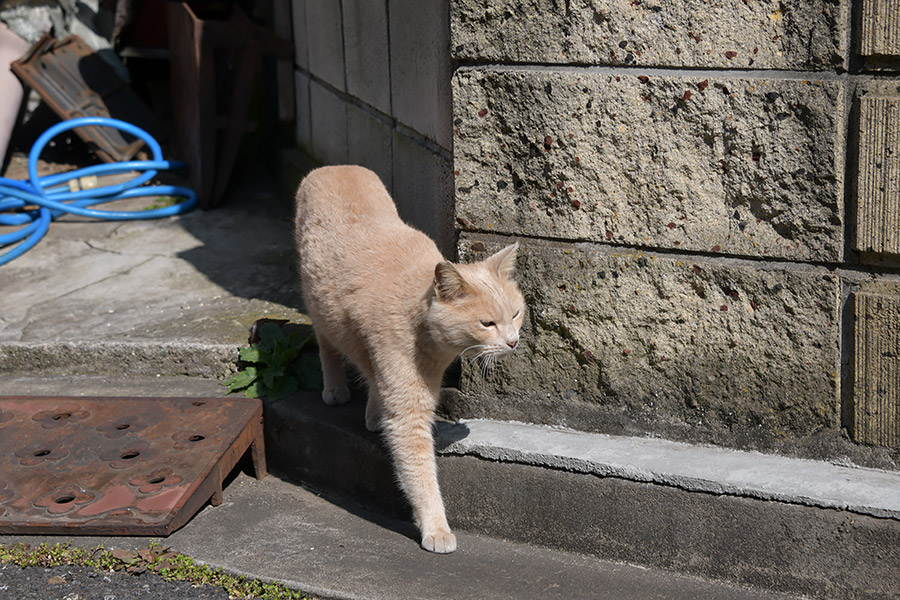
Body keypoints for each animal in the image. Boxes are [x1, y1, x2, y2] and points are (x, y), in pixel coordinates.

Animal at [296, 164, 524, 552]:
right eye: (487, 323)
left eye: (516, 314)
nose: (513, 341)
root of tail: (335, 166)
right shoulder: (409, 410)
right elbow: (419, 472)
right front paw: (436, 528)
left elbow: (378, 385)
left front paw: (374, 414)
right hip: (316, 307)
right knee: (327, 345)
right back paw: (335, 388)